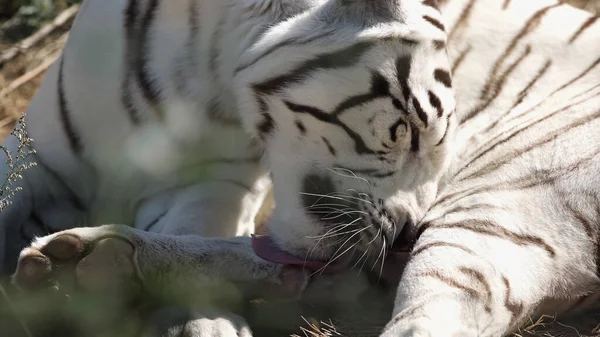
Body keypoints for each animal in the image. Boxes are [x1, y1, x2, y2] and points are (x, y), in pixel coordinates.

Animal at [3, 0, 600, 334]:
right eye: (408, 130)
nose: (408, 234)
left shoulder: (217, 183)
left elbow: (197, 226)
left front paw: (199, 323)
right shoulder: (32, 155)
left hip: (501, 191)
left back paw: (87, 264)